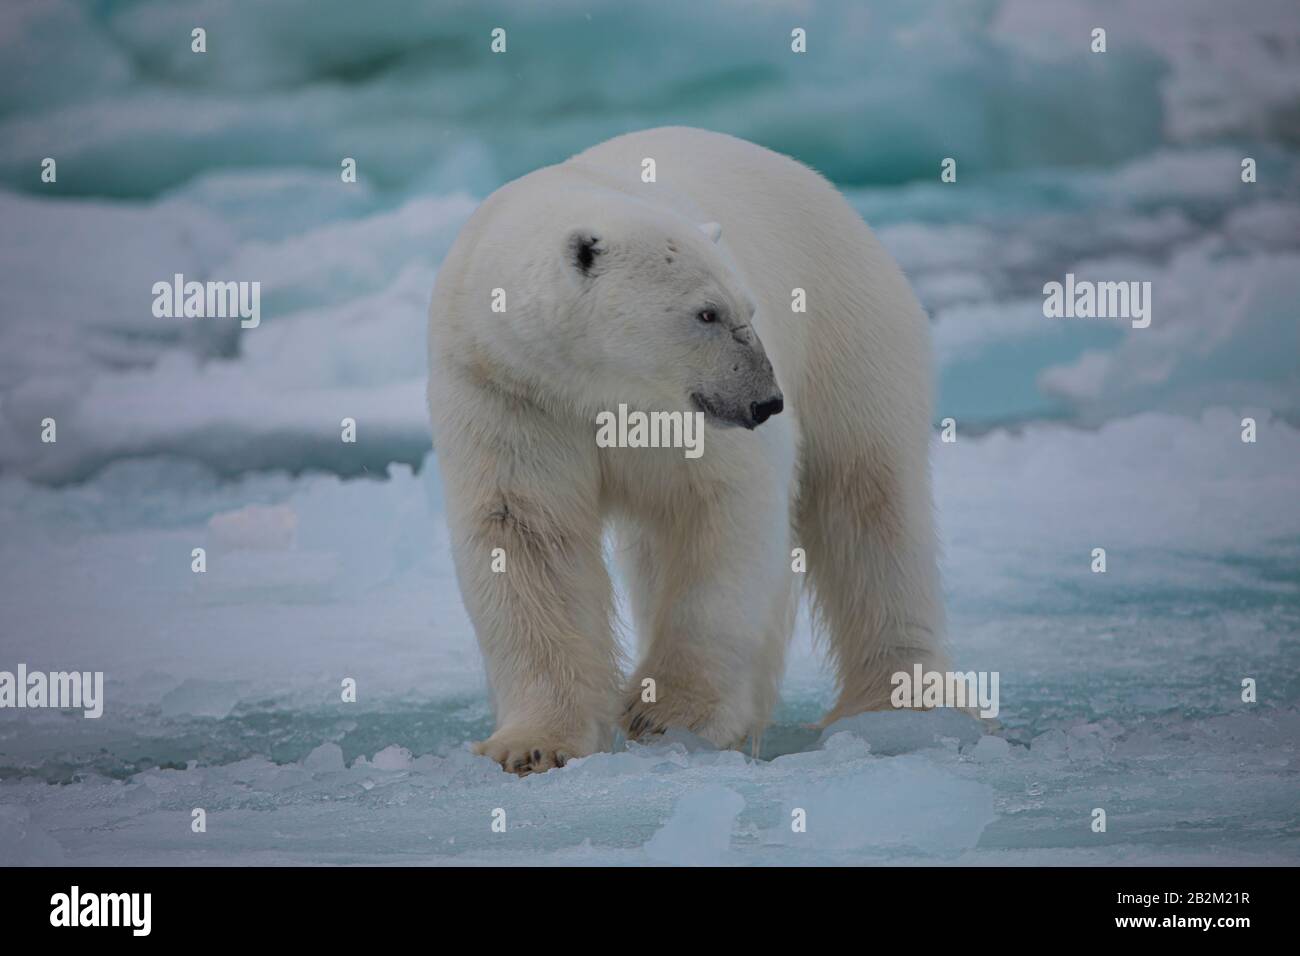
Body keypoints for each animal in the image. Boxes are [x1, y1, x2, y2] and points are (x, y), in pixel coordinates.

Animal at [431, 127, 951, 775]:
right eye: (706, 312)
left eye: (747, 309)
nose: (766, 402)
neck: (590, 386)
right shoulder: (507, 391)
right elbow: (523, 530)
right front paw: (531, 745)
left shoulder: (681, 418)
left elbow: (719, 512)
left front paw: (670, 714)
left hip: (851, 327)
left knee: (871, 501)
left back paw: (895, 704)